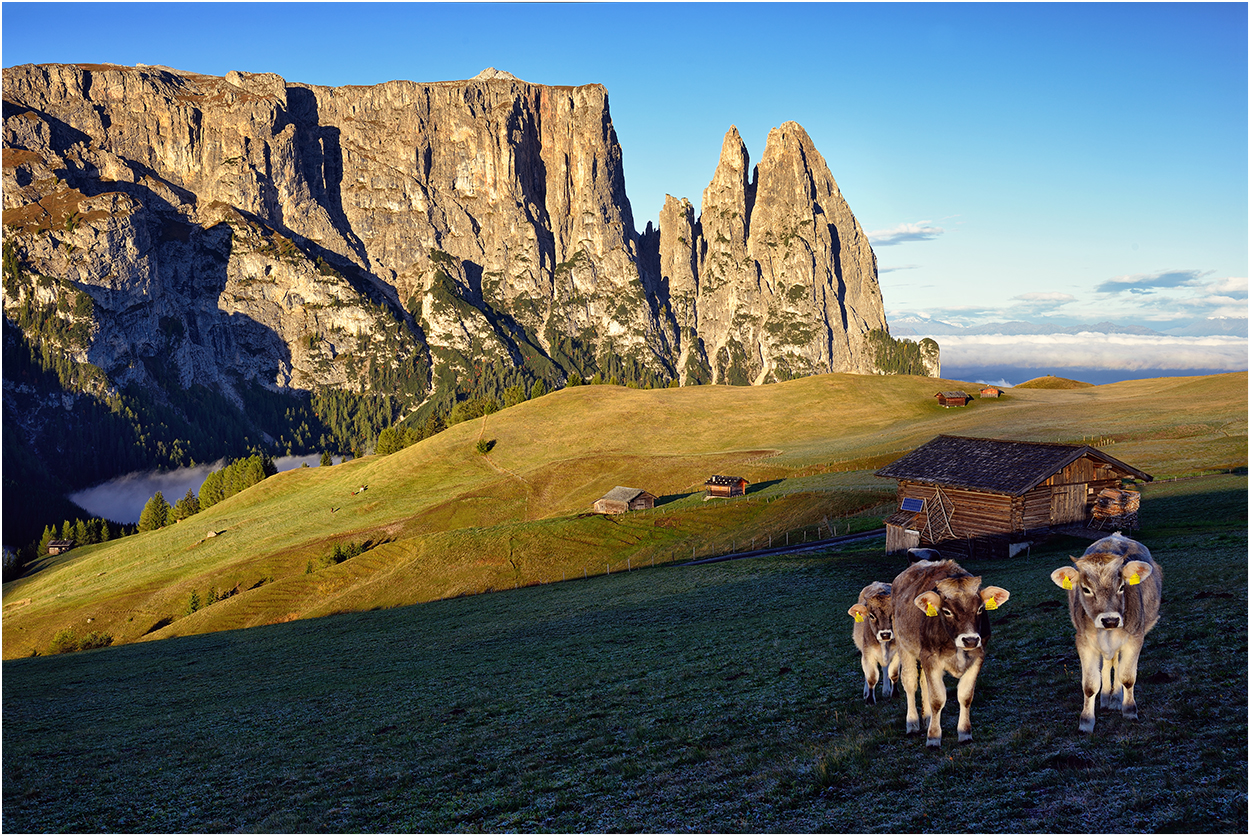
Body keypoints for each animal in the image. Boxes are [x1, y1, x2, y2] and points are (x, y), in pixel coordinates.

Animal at [895, 559, 1010, 744]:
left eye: (980, 608)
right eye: (947, 611)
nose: (970, 640)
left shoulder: (978, 657)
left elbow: (965, 696)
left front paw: (964, 733)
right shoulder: (930, 657)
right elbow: (937, 699)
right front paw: (933, 737)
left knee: (924, 683)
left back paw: (927, 719)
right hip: (903, 645)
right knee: (910, 682)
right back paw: (912, 724)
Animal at [1045, 534, 1160, 729]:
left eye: (1122, 587)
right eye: (1085, 589)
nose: (1110, 620)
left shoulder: (1135, 638)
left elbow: (1127, 677)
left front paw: (1129, 711)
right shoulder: (1084, 641)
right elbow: (1090, 685)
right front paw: (1086, 722)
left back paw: (1116, 699)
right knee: (1108, 665)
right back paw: (1107, 699)